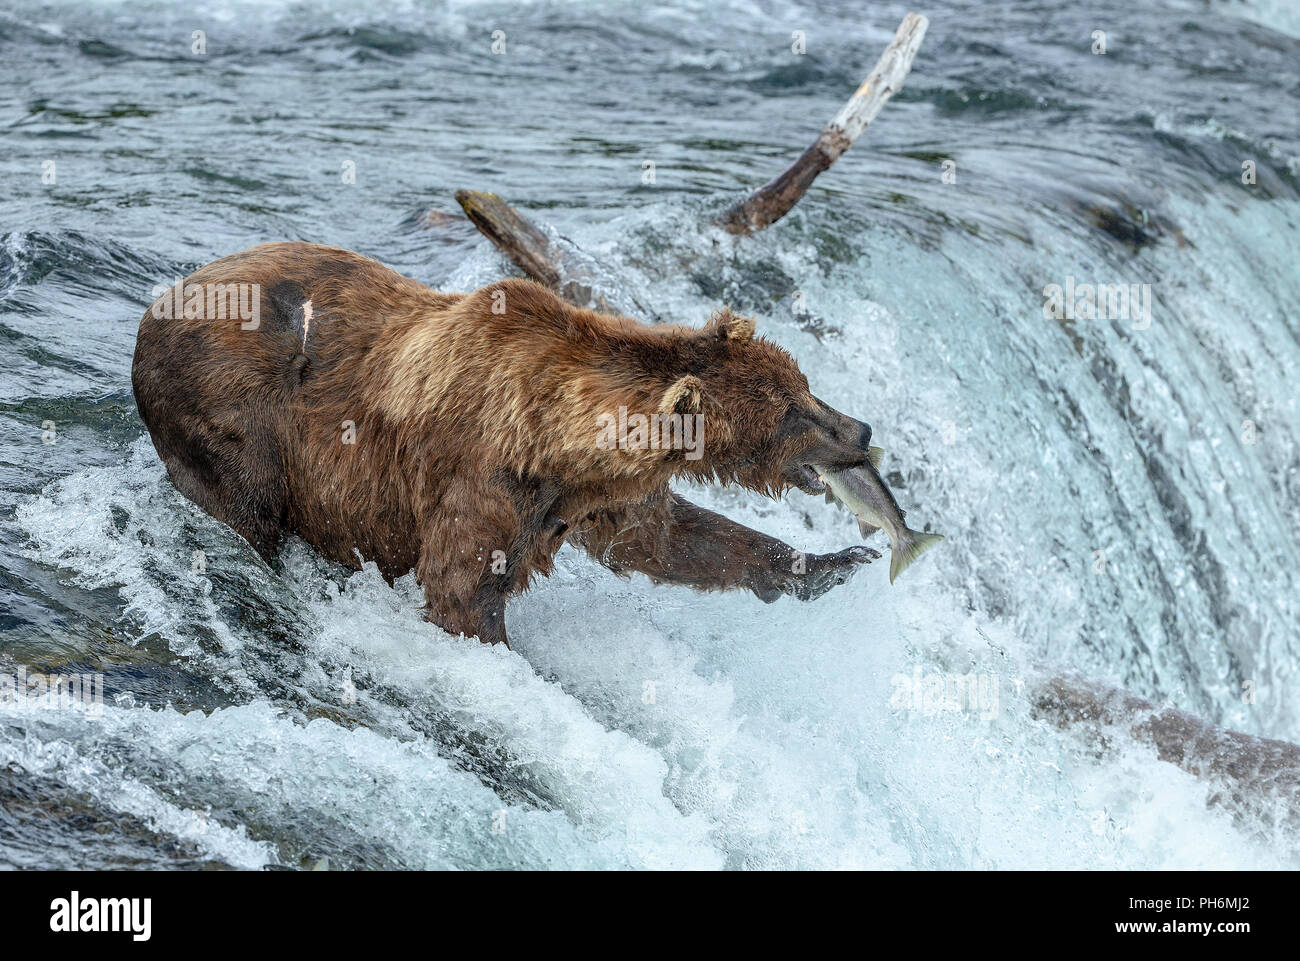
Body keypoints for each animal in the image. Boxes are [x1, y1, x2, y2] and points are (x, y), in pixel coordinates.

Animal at [131, 240, 878, 647]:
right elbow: (461, 595)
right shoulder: (480, 477)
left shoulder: (584, 497)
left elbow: (667, 538)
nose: (860, 430)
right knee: (247, 504)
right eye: (791, 413)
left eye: (803, 383)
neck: (556, 443)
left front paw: (830, 562)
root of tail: (158, 303)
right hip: (230, 409)